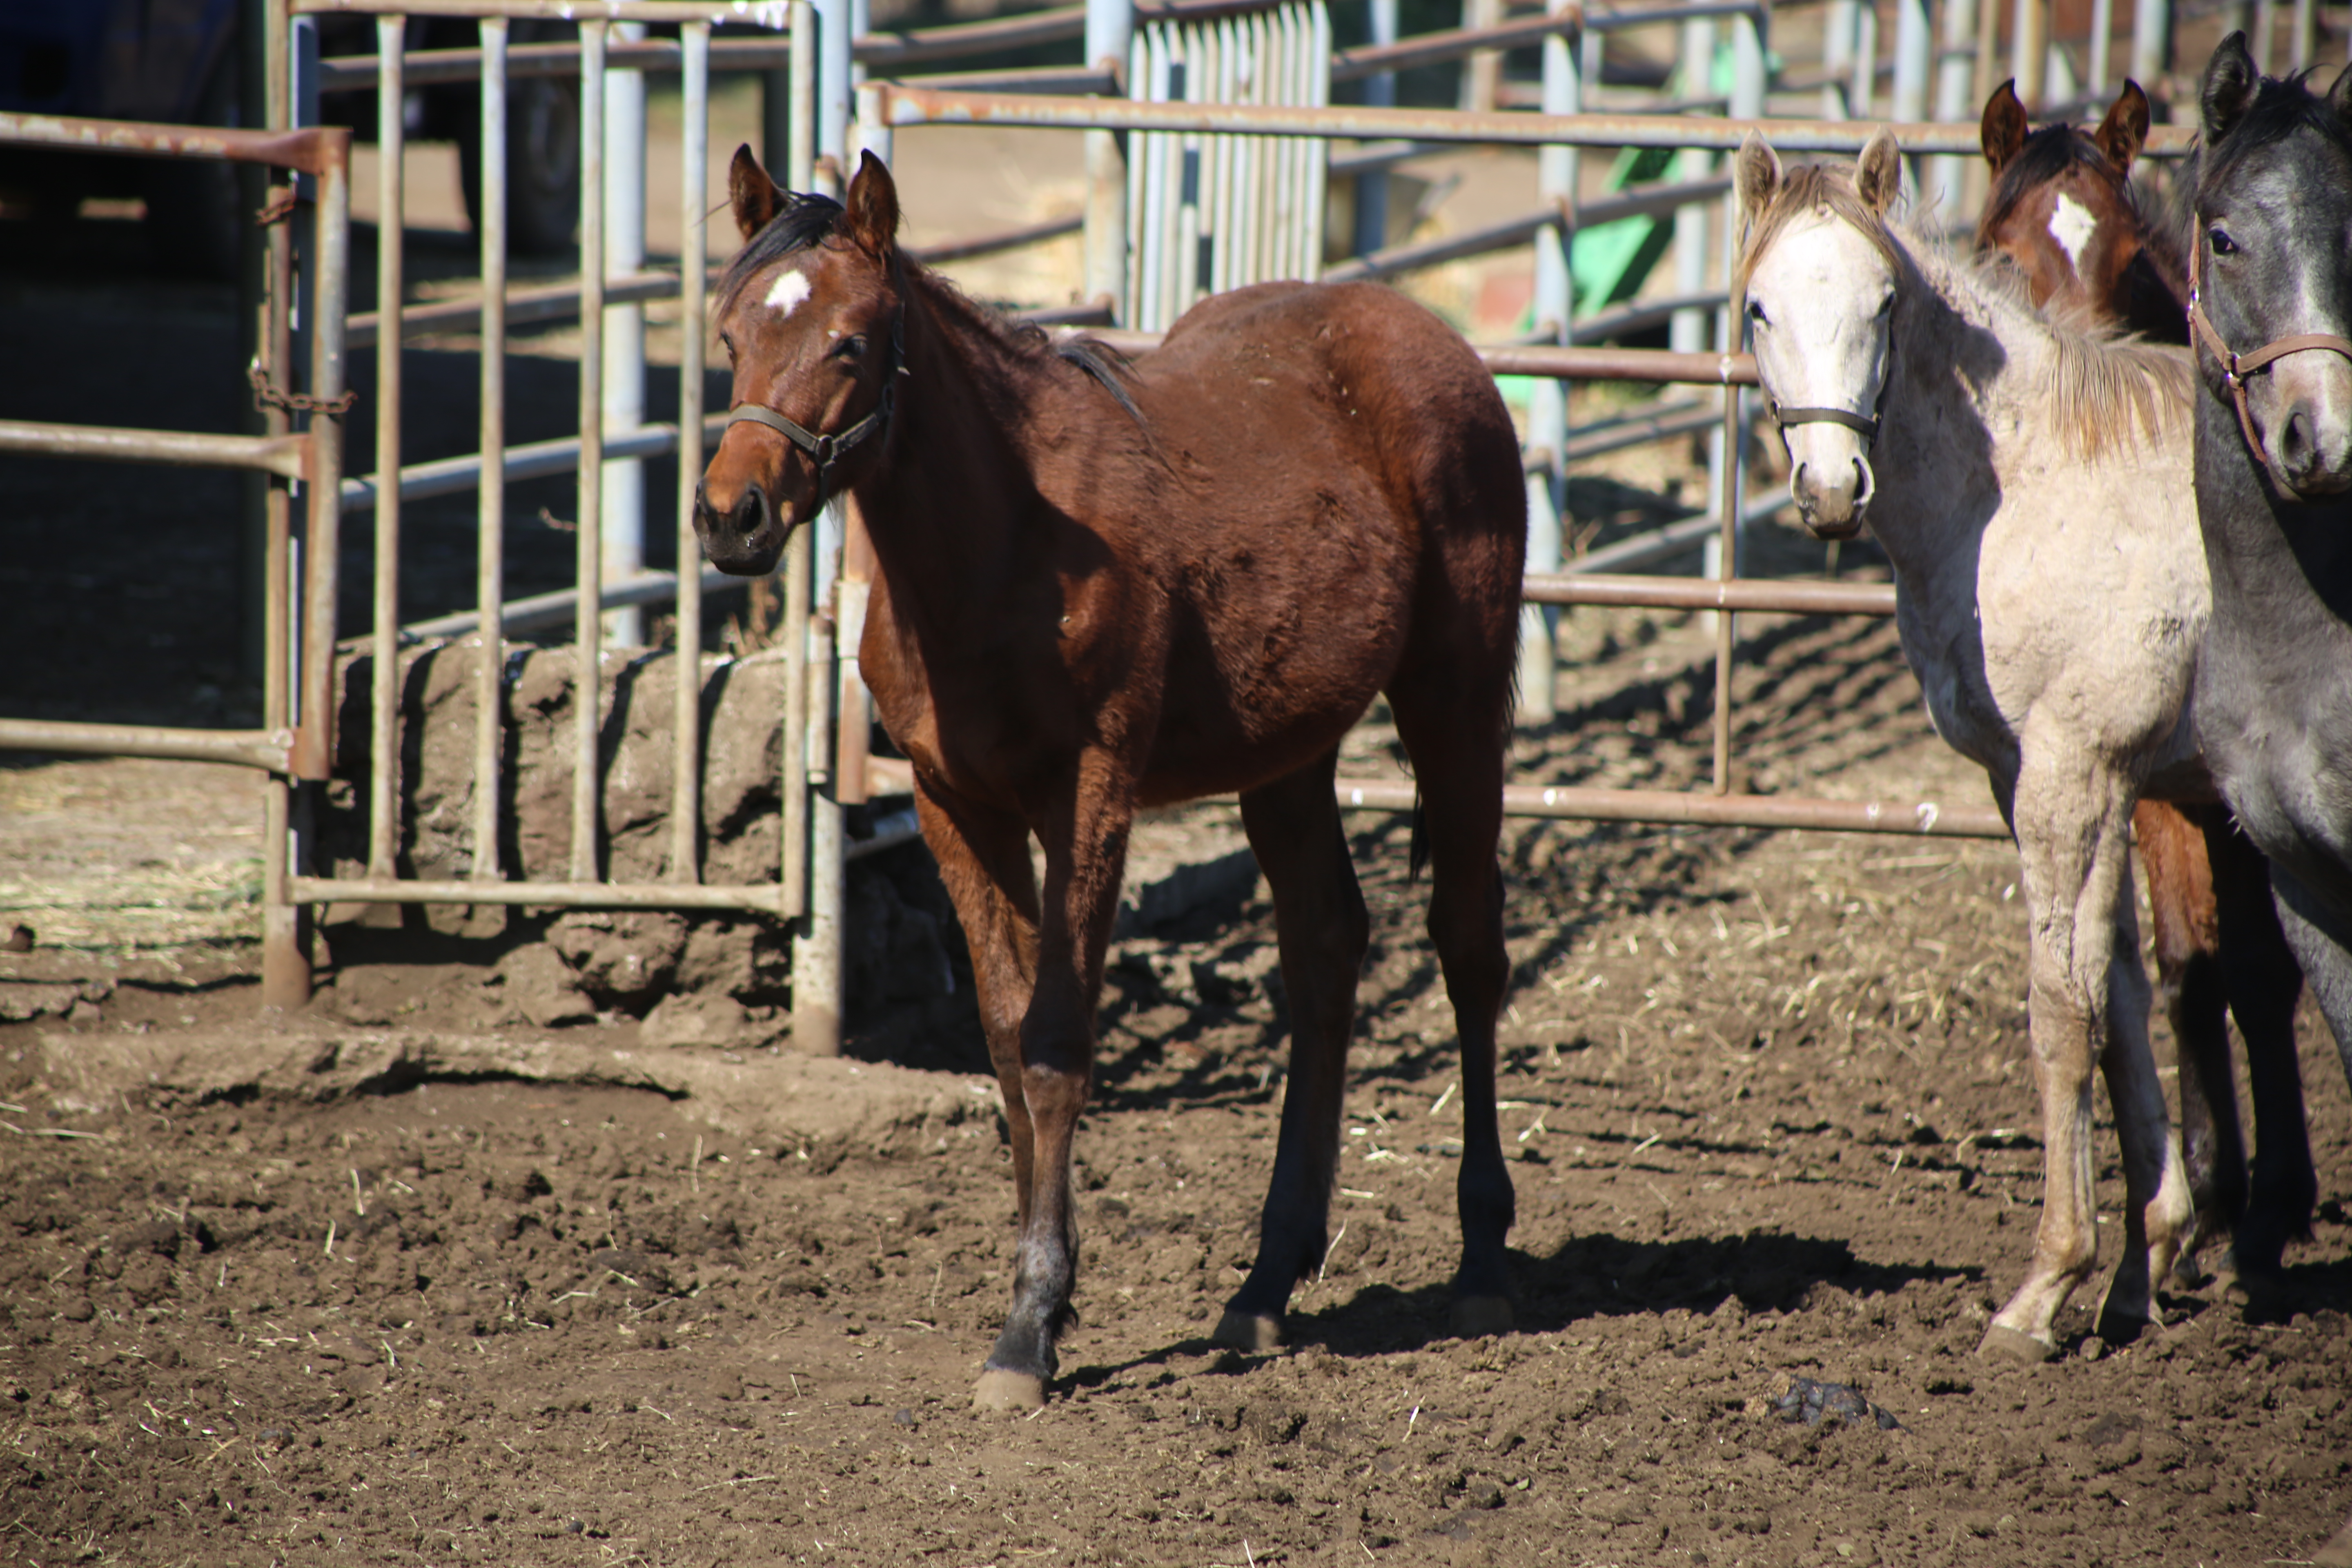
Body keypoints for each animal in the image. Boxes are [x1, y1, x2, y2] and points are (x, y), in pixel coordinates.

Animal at [1976, 76, 2305, 1297]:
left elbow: (2258, 970)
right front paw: (2202, 1195)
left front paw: (2269, 1203)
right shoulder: (2164, 792)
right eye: (2002, 253)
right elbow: (2184, 971)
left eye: (2126, 255)